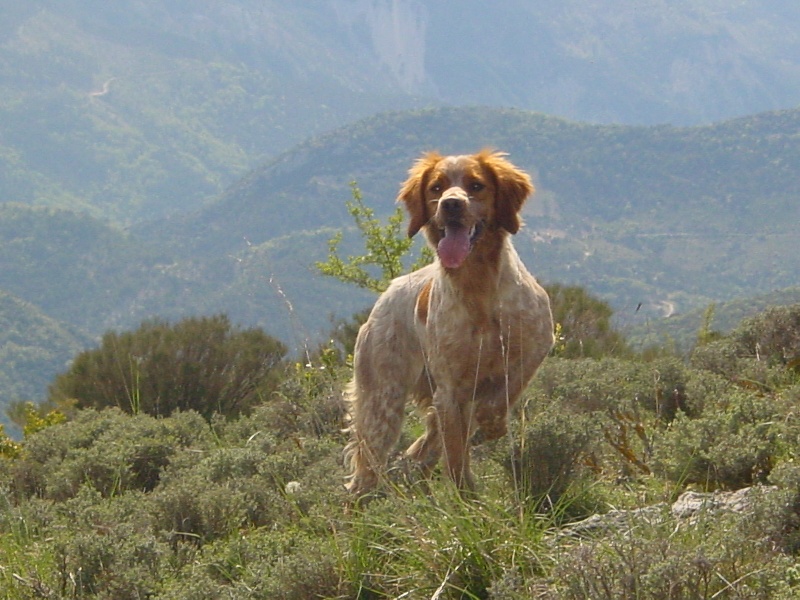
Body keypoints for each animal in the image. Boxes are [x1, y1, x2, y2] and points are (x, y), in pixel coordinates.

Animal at [344, 149, 556, 492]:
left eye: (476, 185)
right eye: (436, 188)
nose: (451, 204)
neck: (478, 290)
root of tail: (385, 297)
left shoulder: (536, 347)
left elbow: (504, 392)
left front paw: (492, 421)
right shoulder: (450, 390)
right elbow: (456, 457)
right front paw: (463, 496)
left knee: (427, 442)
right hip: (382, 401)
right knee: (368, 469)